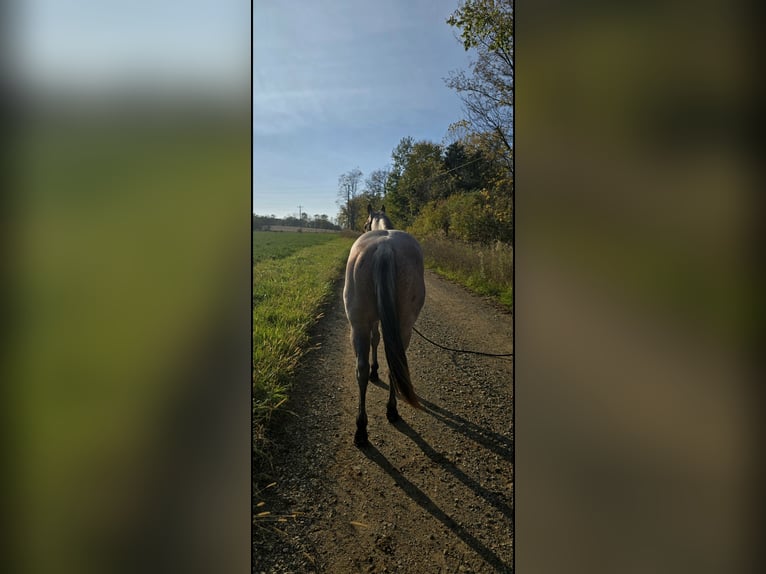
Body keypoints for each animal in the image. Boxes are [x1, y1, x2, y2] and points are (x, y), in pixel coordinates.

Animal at [344, 205, 428, 448]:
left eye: (365, 223)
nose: (363, 228)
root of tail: (385, 248)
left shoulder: (372, 321)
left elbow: (375, 340)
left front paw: (375, 371)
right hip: (403, 326)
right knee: (394, 363)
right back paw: (387, 413)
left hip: (358, 325)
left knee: (362, 369)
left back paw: (363, 428)